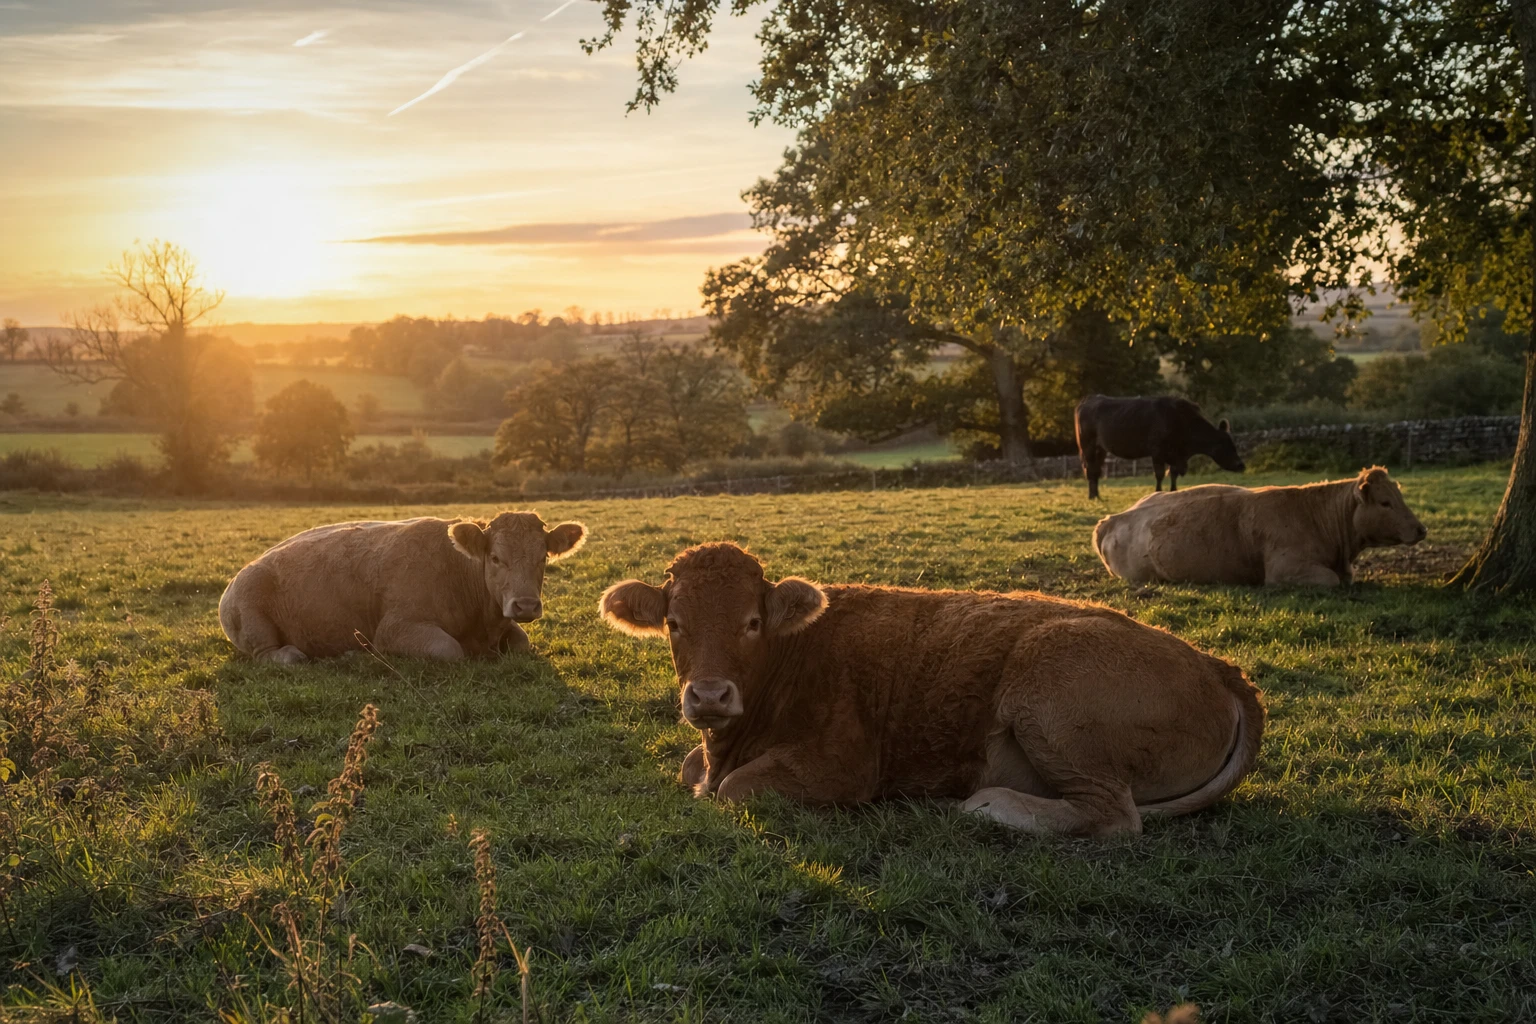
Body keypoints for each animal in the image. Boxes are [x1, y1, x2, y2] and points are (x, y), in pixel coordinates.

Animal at [219, 512, 587, 663]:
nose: (525, 605)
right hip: (254, 620)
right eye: (495, 558)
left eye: (543, 557)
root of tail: (236, 578)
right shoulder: (396, 627)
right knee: (269, 654)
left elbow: (522, 643)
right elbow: (449, 649)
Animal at [599, 542, 1264, 836]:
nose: (710, 696)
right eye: (673, 623)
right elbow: (690, 768)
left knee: (1112, 815)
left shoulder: (842, 767)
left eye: (753, 622)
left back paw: (987, 805)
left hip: (1051, 699)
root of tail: (1218, 665)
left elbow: (734, 789)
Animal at [1075, 395, 1246, 499]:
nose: (1241, 465)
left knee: (1096, 470)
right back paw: (1092, 497)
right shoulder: (1157, 451)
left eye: (1234, 444)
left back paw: (1097, 495)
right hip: (1087, 445)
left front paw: (1173, 491)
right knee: (1090, 470)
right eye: (1224, 445)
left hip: (1101, 449)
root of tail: (1089, 399)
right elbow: (1159, 474)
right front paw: (1158, 492)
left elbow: (1173, 474)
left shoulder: (1176, 456)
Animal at [1092, 466, 1426, 586]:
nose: (1421, 529)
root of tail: (1112, 518)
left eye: (1398, 496)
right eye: (1385, 502)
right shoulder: (1284, 570)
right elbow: (1332, 580)